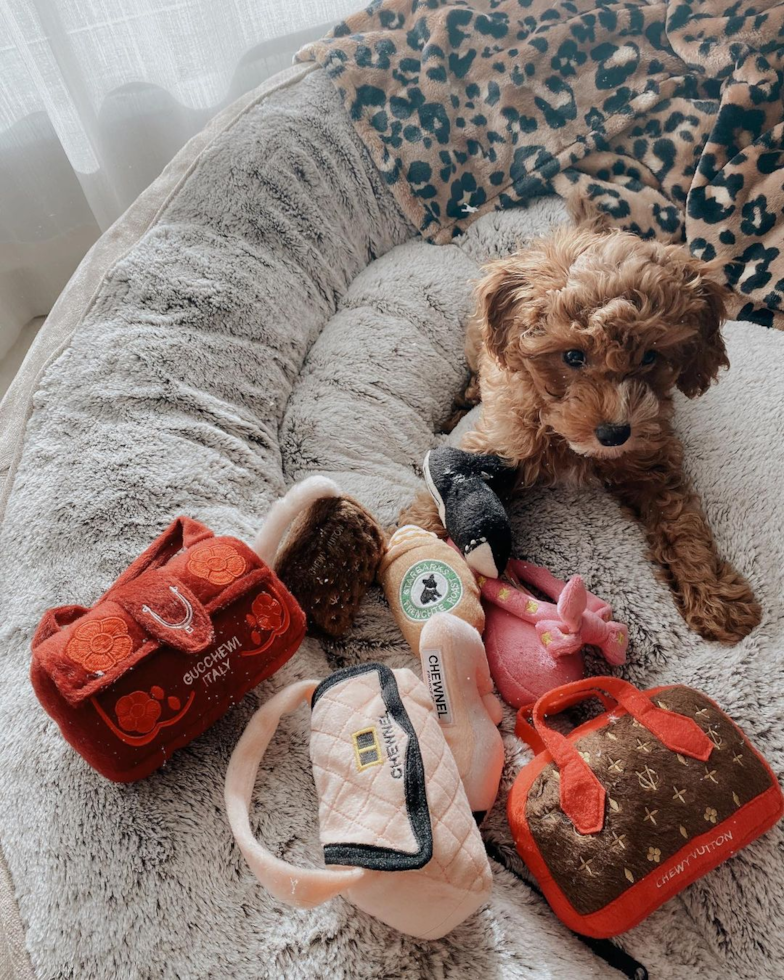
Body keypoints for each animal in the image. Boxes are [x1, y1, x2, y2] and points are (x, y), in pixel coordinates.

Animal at [404, 219, 760, 644]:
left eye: (650, 356)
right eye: (573, 356)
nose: (614, 433)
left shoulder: (652, 459)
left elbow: (681, 522)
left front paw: (715, 596)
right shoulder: (503, 439)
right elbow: (445, 488)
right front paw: (412, 536)